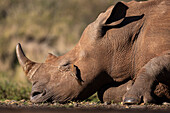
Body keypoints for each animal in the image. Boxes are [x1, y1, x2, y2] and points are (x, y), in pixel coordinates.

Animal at [16, 0, 169, 104]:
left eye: (66, 65)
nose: (34, 95)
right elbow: (103, 92)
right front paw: (132, 88)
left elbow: (156, 62)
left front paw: (131, 99)